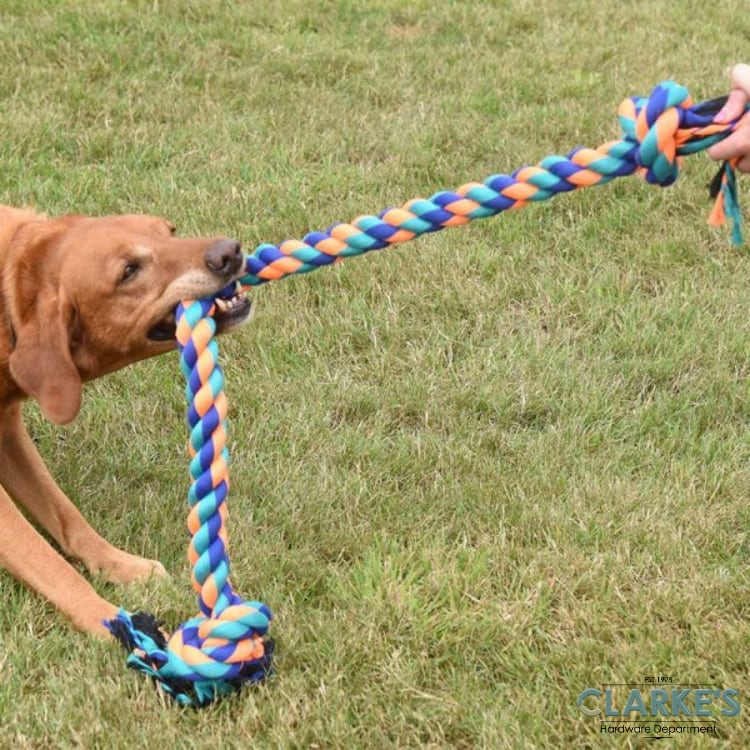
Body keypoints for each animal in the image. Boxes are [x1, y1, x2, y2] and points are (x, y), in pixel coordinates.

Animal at [0, 209, 253, 636]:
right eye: (129, 271)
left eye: (169, 231)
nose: (229, 252)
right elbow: (46, 563)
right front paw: (107, 620)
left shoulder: (7, 431)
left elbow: (66, 515)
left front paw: (117, 565)